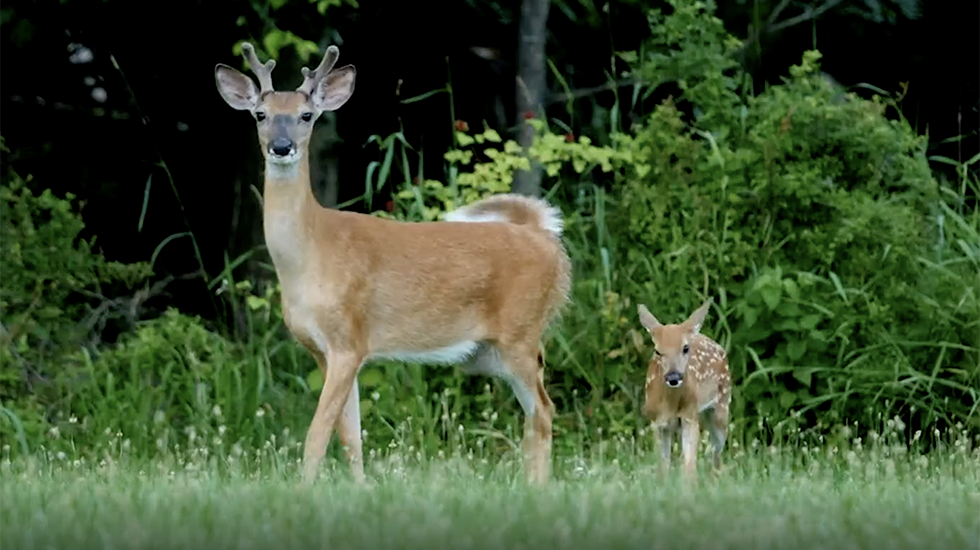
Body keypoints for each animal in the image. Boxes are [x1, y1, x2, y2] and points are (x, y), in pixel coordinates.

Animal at [213, 42, 572, 485]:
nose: (281, 147)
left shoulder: (348, 340)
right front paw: (360, 489)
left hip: (521, 332)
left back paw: (537, 487)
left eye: (306, 115)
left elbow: (317, 433)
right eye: (260, 114)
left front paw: (302, 490)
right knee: (534, 412)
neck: (310, 255)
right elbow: (350, 435)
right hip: (492, 352)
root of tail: (545, 236)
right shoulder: (325, 351)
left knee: (544, 409)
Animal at [636, 299, 731, 482]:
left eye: (685, 348)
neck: (670, 406)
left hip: (722, 407)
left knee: (717, 454)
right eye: (657, 351)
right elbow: (662, 468)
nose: (673, 377)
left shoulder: (689, 417)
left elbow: (689, 469)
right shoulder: (656, 422)